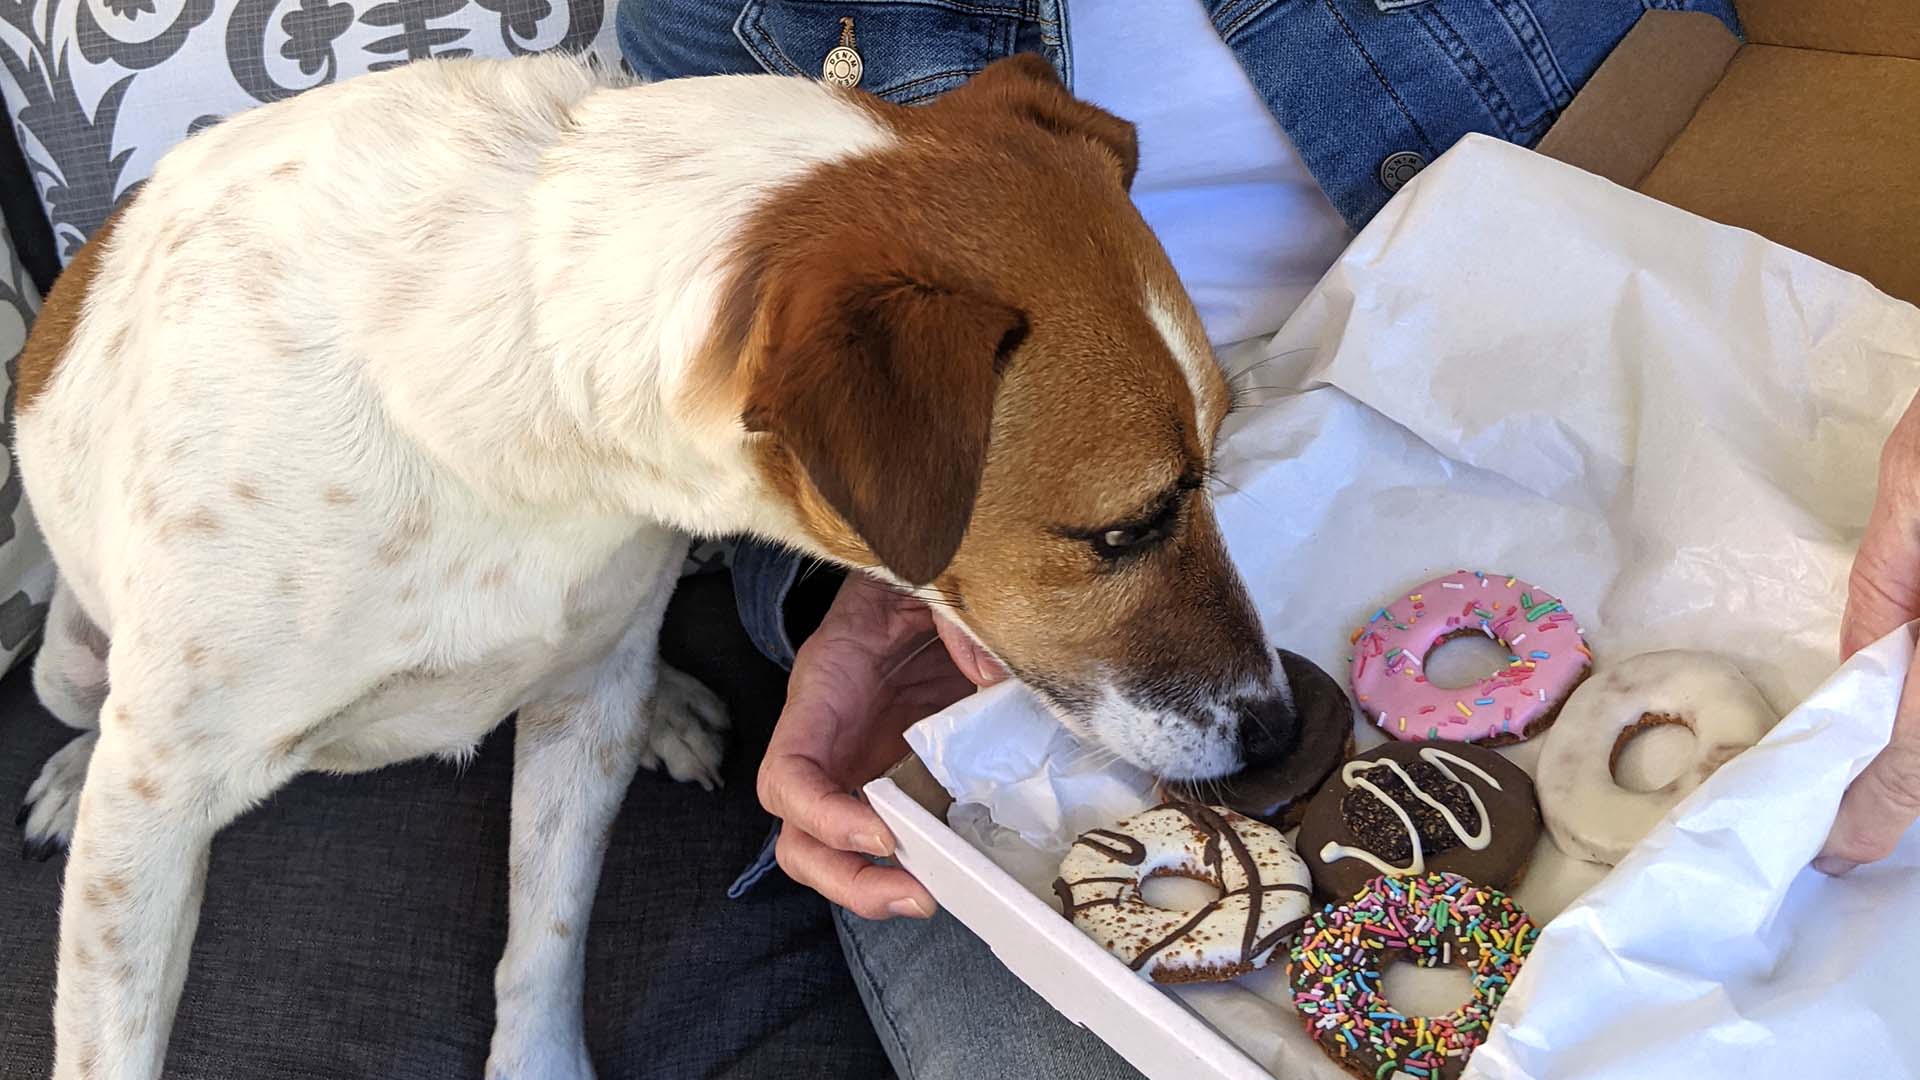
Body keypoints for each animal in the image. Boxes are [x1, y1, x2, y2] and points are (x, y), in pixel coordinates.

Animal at [15, 52, 1297, 1076]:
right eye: (1123, 532)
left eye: (1218, 463)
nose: (1282, 733)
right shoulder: (160, 795)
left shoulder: (580, 699)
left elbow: (545, 939)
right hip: (69, 667)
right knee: (82, 710)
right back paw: (68, 776)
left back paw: (671, 706)